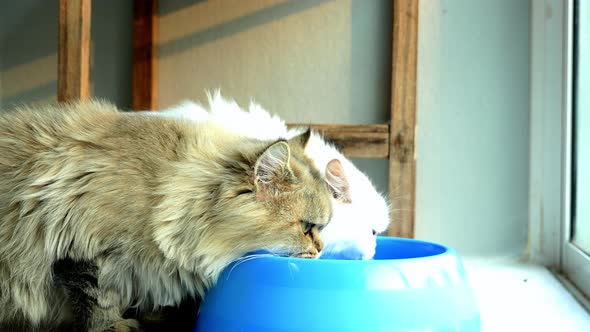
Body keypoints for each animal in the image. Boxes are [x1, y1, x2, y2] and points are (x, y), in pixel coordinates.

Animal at [0, 100, 340, 330]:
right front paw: (115, 327)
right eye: (307, 227)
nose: (321, 249)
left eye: (322, 228)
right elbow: (99, 302)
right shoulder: (83, 250)